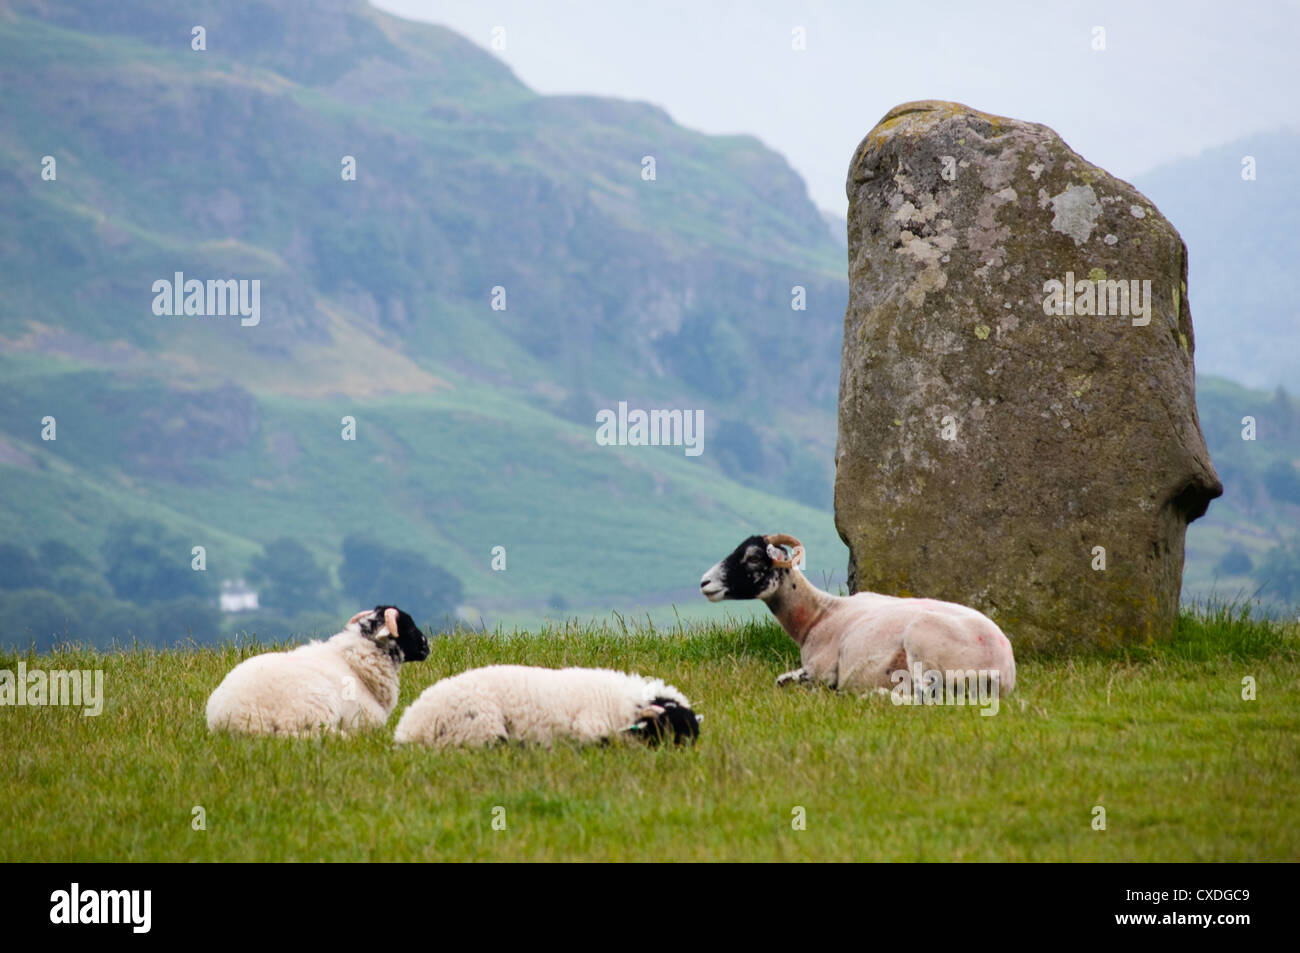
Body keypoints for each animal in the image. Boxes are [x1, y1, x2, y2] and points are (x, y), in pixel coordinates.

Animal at [206, 603, 431, 738]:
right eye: (408, 627)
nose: (427, 646)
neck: (353, 664)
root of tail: (232, 718)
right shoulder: (365, 720)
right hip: (310, 710)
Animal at [702, 535, 1013, 696]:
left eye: (754, 557)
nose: (704, 582)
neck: (818, 615)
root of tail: (1002, 666)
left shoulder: (822, 669)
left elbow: (792, 681)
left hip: (921, 640)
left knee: (922, 694)